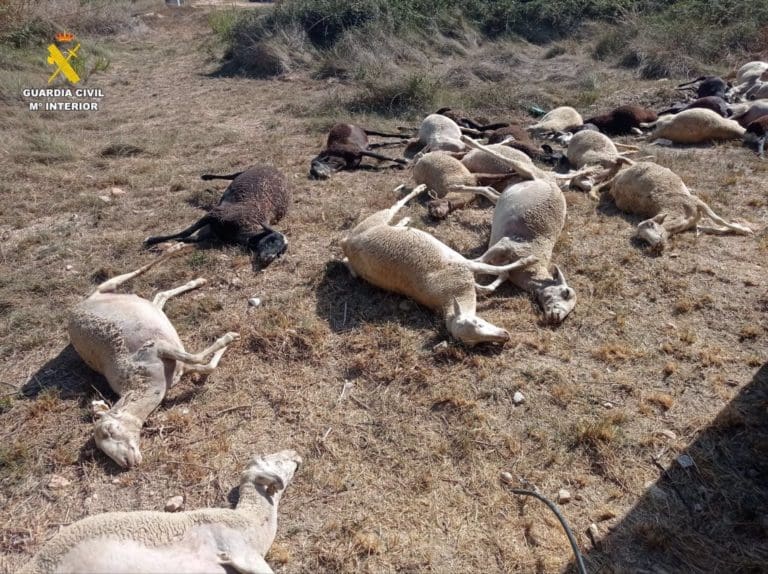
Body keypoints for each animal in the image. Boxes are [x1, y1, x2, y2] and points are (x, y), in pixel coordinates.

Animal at [67, 244, 239, 468]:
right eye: (101, 449)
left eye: (110, 430)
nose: (127, 463)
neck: (146, 381)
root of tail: (75, 309)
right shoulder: (176, 367)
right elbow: (206, 365)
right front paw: (227, 342)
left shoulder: (156, 348)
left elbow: (197, 358)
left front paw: (229, 337)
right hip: (149, 309)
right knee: (160, 295)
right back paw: (197, 281)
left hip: (106, 286)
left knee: (137, 272)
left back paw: (177, 248)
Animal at [144, 165, 290, 268]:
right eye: (272, 240)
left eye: (280, 252)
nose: (269, 258)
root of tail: (275, 168)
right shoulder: (214, 215)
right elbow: (187, 231)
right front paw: (152, 240)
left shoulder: (213, 231)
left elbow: (191, 237)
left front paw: (171, 243)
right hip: (246, 171)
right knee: (232, 174)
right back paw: (206, 178)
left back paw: (210, 190)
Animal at [341, 185, 539, 345]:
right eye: (474, 342)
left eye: (478, 322)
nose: (505, 336)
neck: (451, 293)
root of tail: (347, 243)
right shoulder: (462, 266)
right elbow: (489, 270)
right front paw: (526, 261)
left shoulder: (463, 265)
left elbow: (486, 278)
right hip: (372, 223)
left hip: (375, 221)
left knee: (395, 207)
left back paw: (408, 212)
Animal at [594, 161, 753, 251]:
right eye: (642, 239)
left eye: (651, 224)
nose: (657, 245)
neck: (681, 216)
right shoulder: (693, 218)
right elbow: (712, 228)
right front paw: (739, 229)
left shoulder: (697, 202)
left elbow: (718, 221)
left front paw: (744, 230)